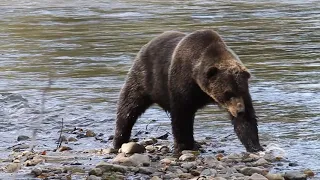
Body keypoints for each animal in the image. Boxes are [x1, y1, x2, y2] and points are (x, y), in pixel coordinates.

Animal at [114, 29, 264, 153]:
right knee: (129, 106)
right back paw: (119, 140)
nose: (239, 111)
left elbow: (247, 120)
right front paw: (185, 145)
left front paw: (255, 146)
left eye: (241, 91)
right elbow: (182, 114)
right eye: (228, 93)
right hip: (145, 77)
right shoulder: (182, 81)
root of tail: (147, 44)